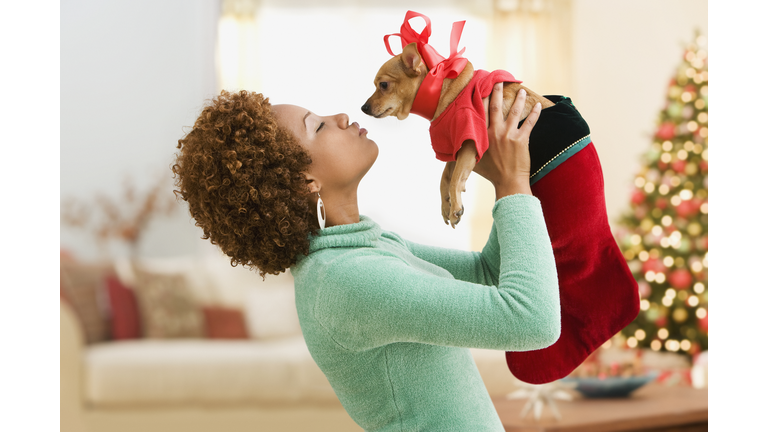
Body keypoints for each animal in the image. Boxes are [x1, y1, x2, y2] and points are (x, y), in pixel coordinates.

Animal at [362, 41, 548, 228]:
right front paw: (446, 206)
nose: (363, 107)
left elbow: (456, 178)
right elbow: (445, 177)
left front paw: (455, 208)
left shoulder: (468, 143)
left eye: (383, 85)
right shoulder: (455, 147)